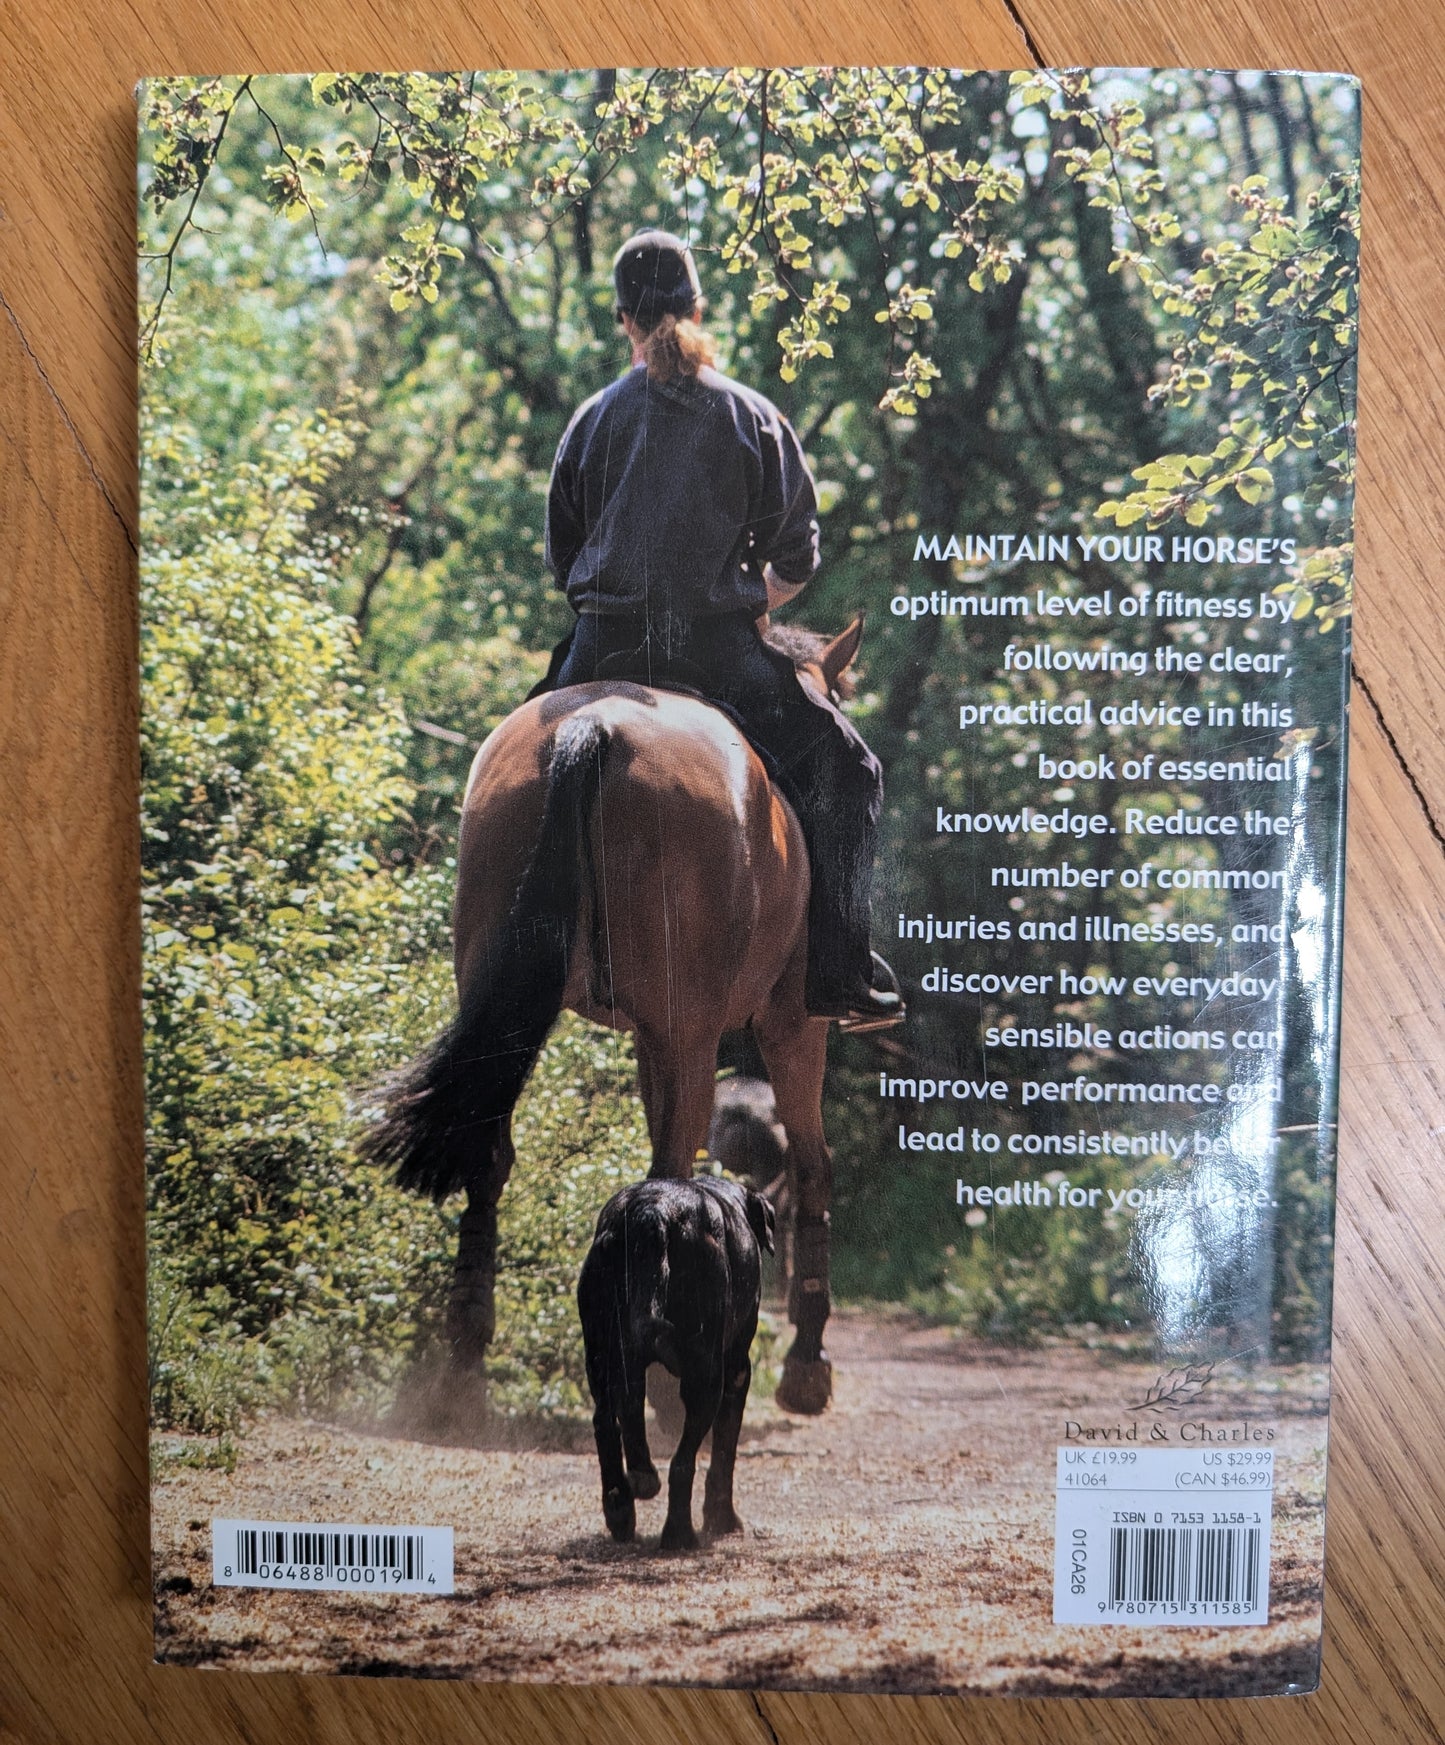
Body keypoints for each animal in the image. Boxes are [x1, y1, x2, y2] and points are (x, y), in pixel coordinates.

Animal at [361, 620, 868, 1416]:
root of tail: (592, 731)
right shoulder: (789, 1020)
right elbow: (815, 1164)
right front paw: (807, 1365)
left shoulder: (651, 1038)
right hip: (701, 1031)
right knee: (673, 1174)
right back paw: (669, 1382)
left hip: (513, 996)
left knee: (490, 1150)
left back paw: (464, 1368)